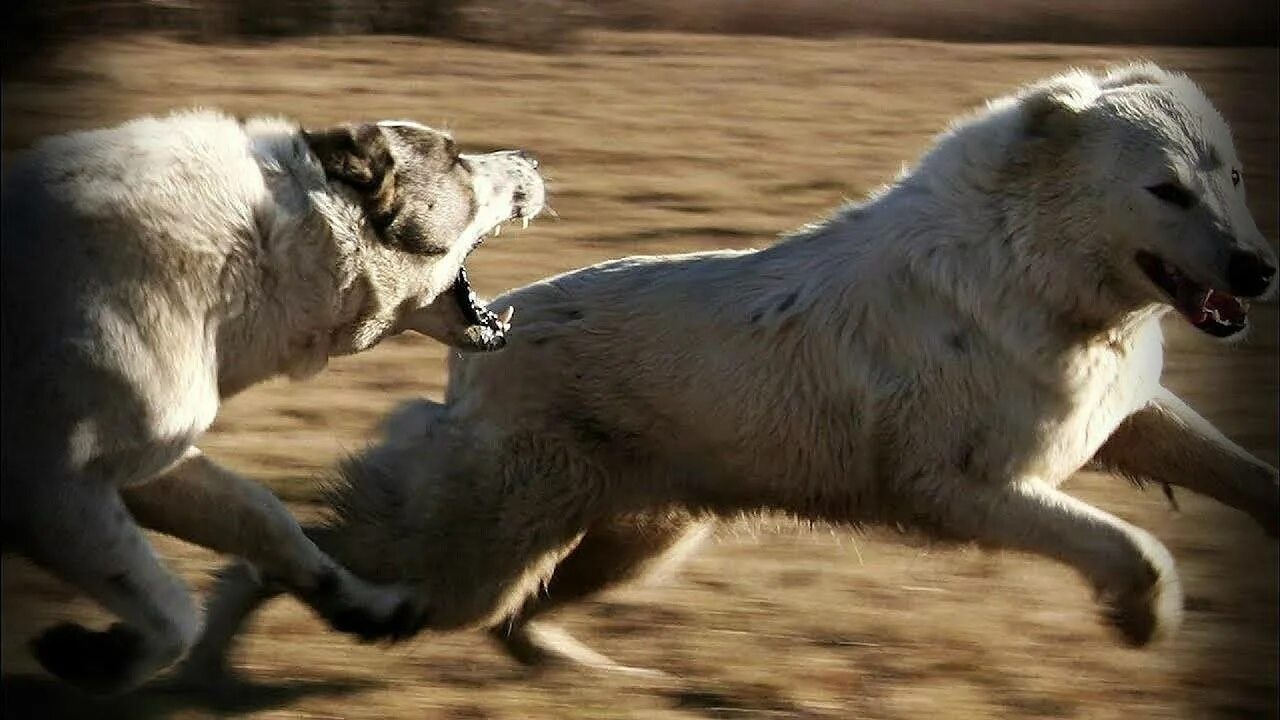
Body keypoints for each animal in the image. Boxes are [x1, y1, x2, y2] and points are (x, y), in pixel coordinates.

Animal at [0, 109, 545, 686]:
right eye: (456, 159)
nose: (531, 158)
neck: (264, 249)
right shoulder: (53, 493)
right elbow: (176, 614)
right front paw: (100, 660)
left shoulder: (144, 465)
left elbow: (266, 518)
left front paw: (370, 607)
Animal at [192, 63, 1280, 676]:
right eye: (1165, 190)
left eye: (1229, 176)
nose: (1259, 271)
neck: (1038, 270)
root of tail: (486, 338)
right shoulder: (964, 488)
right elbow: (1133, 548)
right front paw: (1143, 624)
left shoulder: (1128, 419)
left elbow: (1244, 476)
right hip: (479, 549)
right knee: (301, 554)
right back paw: (208, 665)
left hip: (633, 539)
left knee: (516, 621)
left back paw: (612, 686)